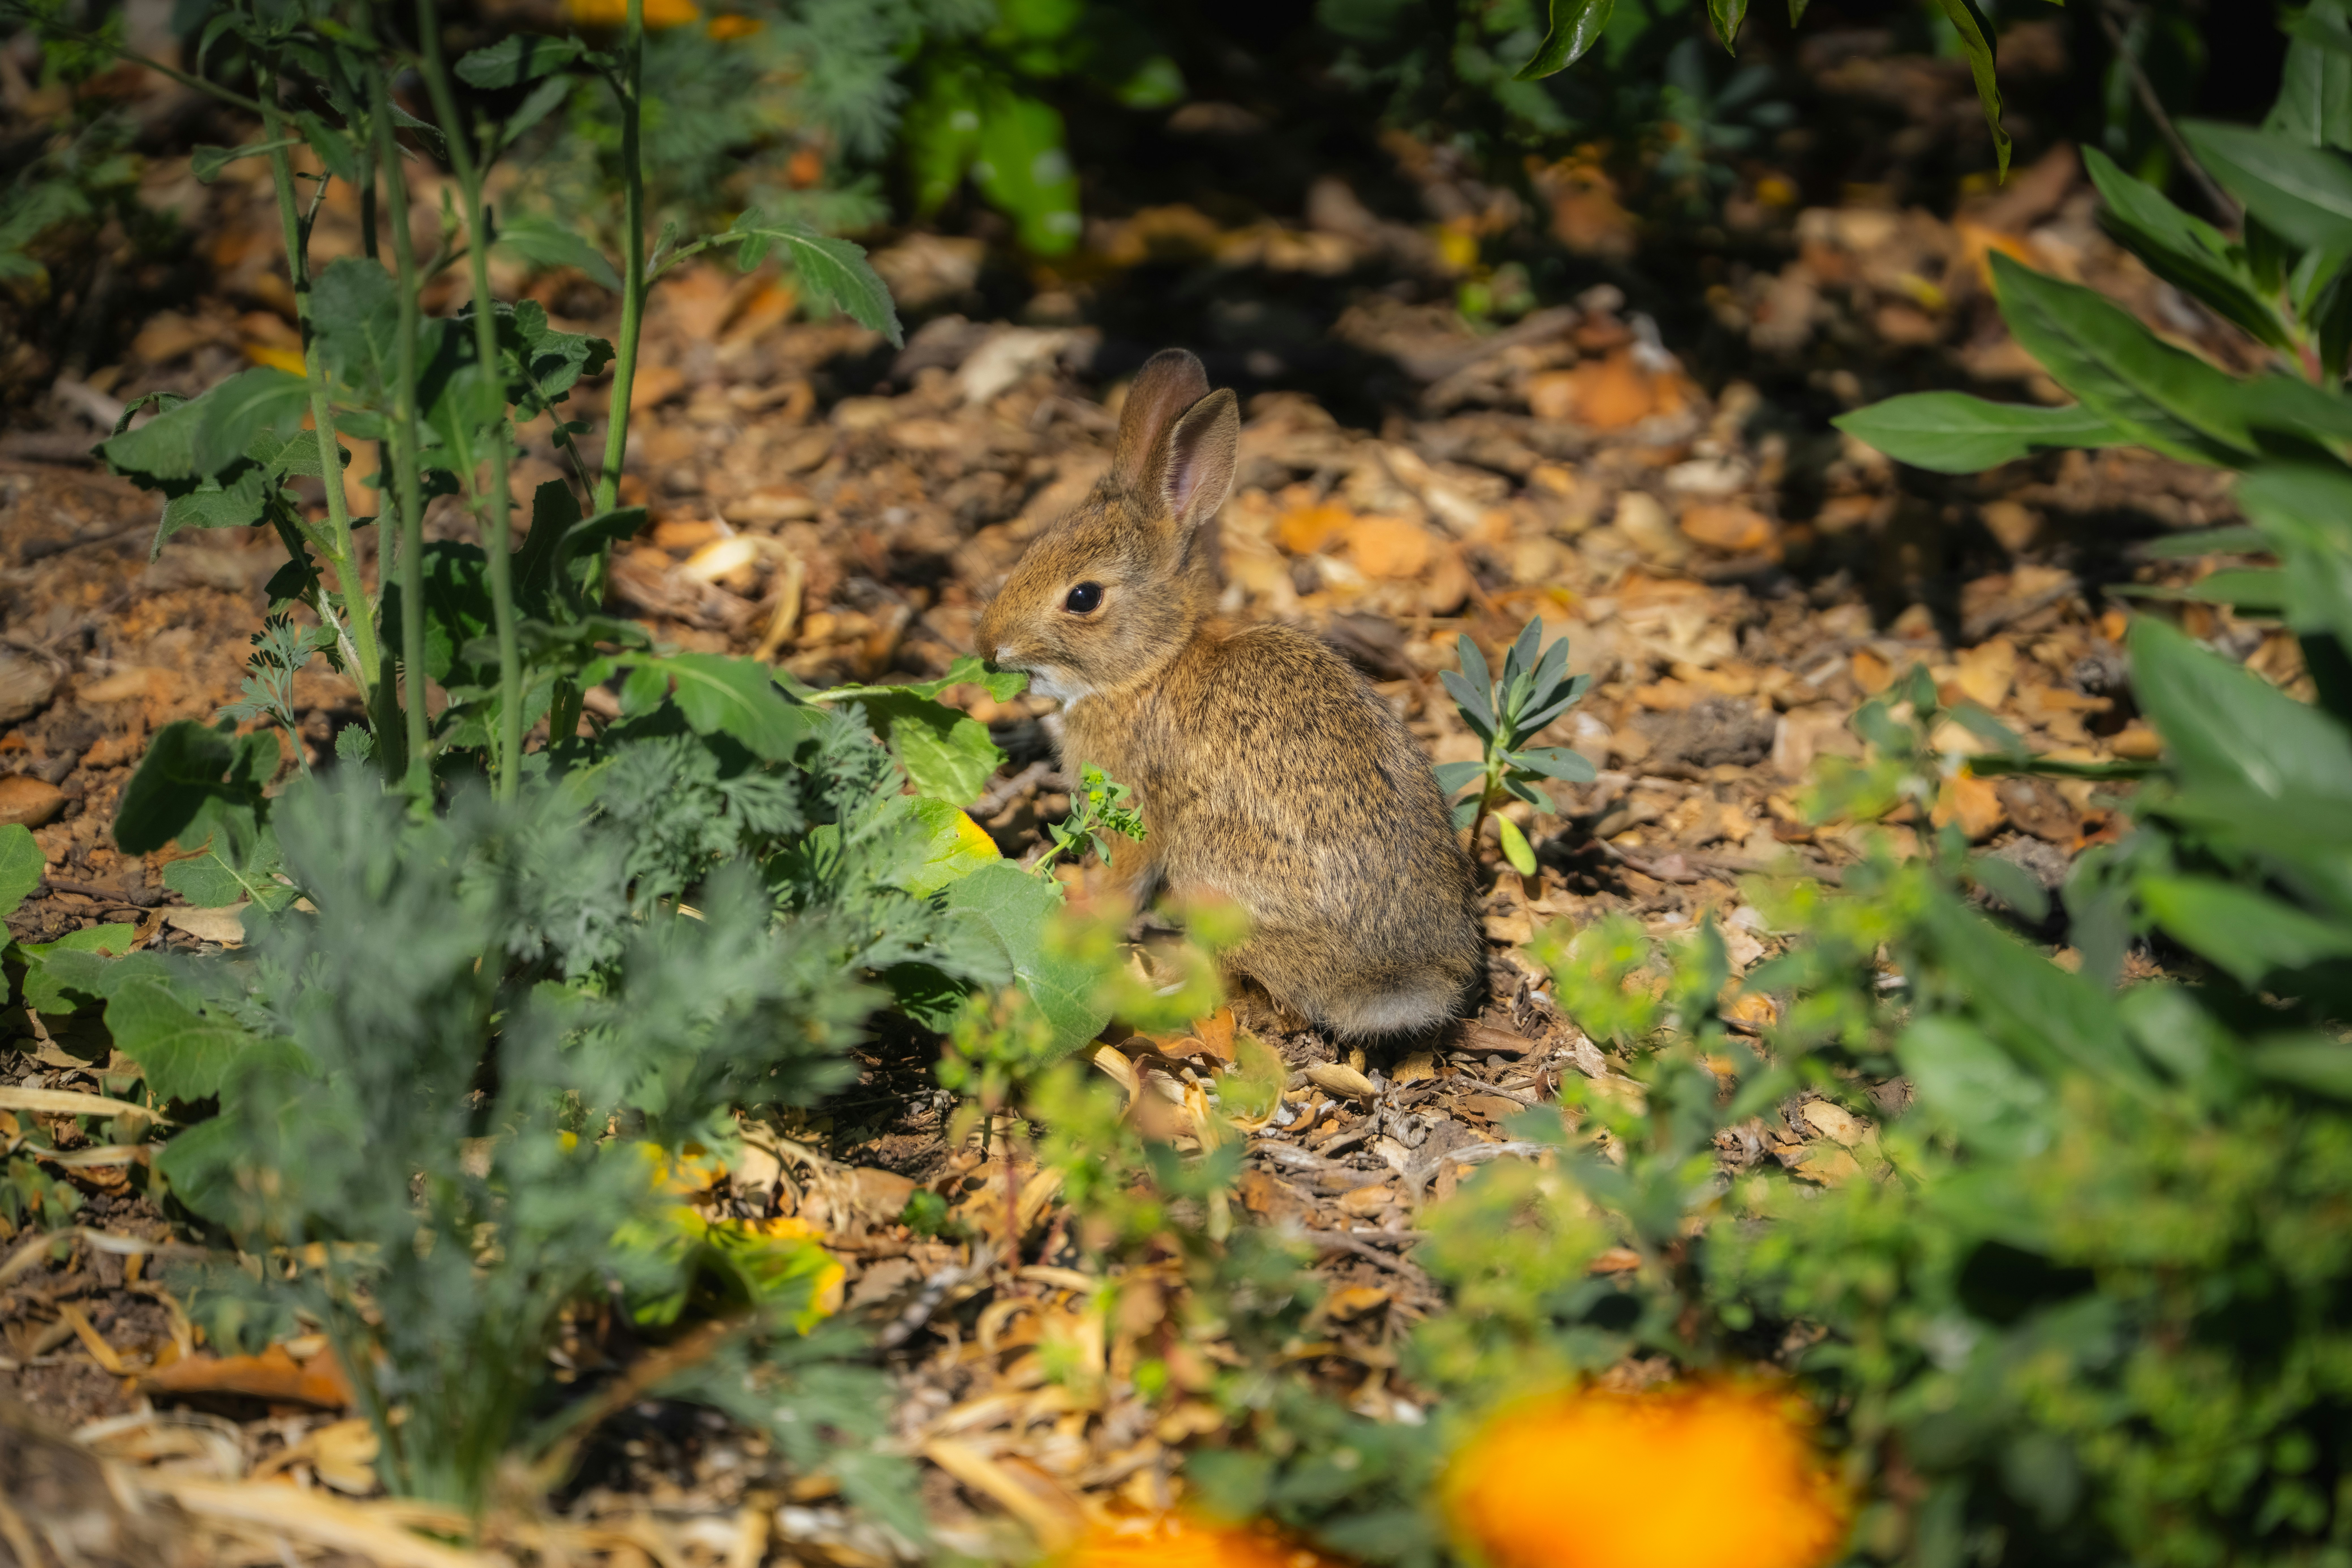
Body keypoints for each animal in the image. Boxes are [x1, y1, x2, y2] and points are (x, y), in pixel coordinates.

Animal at [975, 348, 1486, 1038]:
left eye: (1083, 597)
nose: (989, 644)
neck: (1152, 665)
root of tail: (1394, 981)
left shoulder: (1135, 800)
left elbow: (1124, 873)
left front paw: (1082, 910)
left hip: (1208, 872)